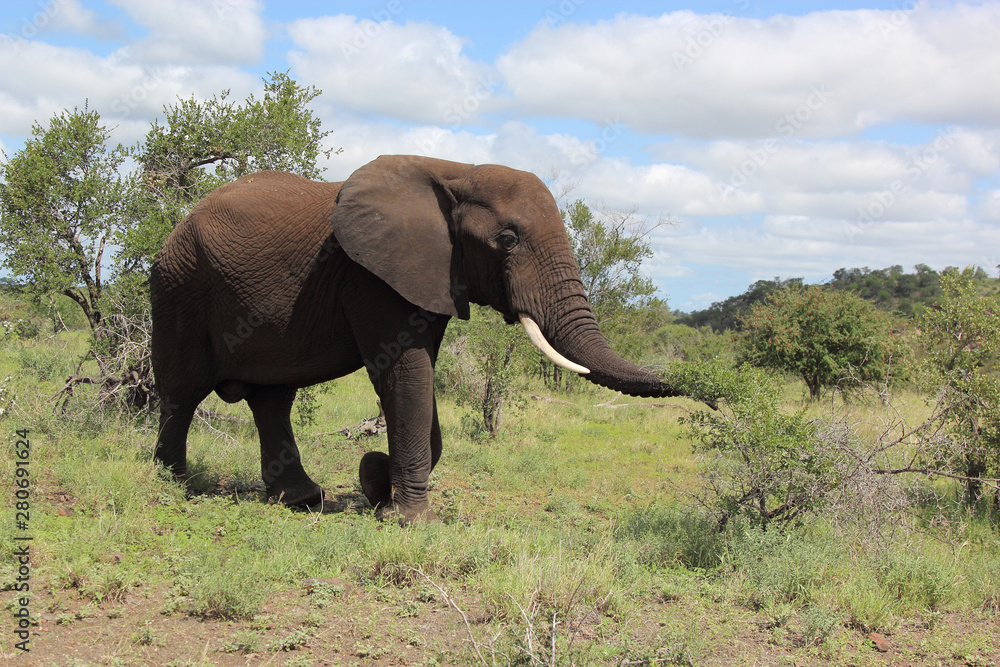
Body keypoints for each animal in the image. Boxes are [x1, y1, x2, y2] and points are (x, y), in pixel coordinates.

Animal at [150, 154, 691, 523]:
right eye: (507, 241)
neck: (456, 171)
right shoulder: (370, 277)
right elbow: (405, 374)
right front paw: (406, 517)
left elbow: (419, 374)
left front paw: (378, 486)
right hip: (179, 285)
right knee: (182, 391)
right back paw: (171, 486)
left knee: (272, 398)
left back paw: (302, 500)